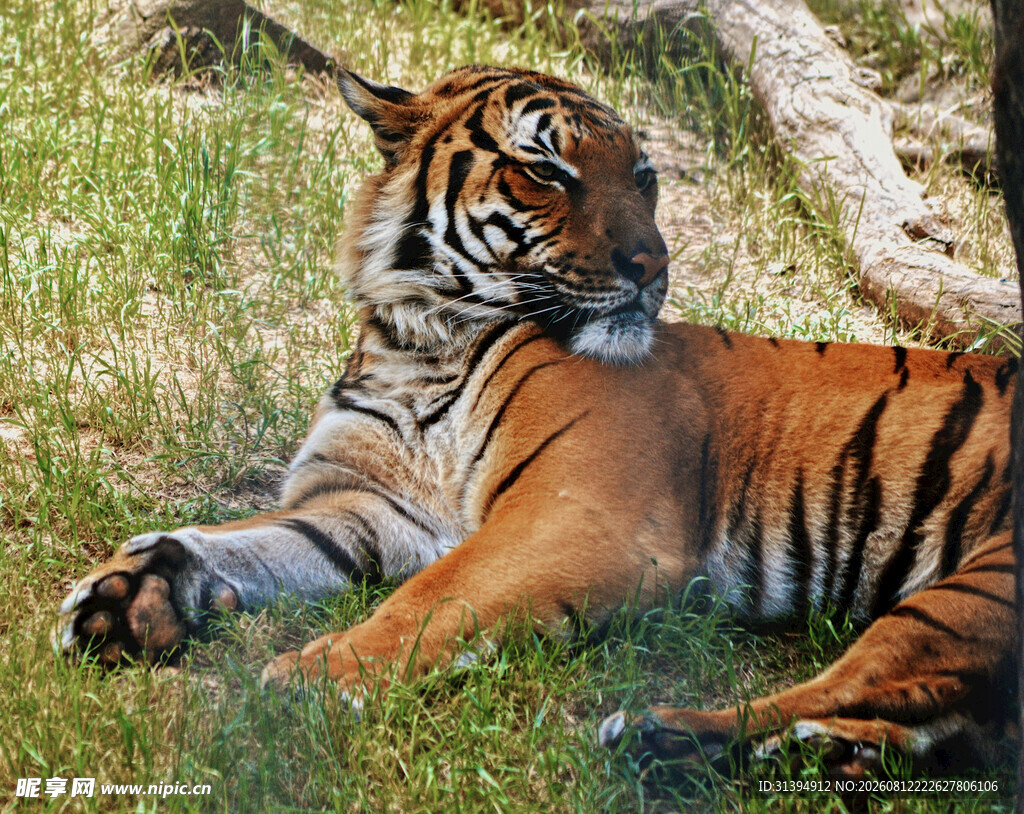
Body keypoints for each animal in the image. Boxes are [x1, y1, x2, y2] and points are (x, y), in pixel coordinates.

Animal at [57, 64, 1018, 778]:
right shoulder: (365, 506)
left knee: (862, 687)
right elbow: (241, 539)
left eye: (644, 178)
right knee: (940, 723)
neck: (421, 340)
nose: (652, 264)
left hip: (976, 588)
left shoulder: (577, 513)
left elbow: (432, 599)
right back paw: (814, 755)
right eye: (547, 170)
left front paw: (317, 674)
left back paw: (663, 738)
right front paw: (126, 594)